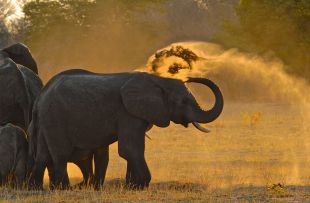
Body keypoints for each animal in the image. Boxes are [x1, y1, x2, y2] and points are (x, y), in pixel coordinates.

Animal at [28, 69, 223, 190]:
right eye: (183, 101)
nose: (190, 77)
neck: (158, 80)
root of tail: (40, 98)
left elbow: (133, 149)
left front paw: (132, 186)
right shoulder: (127, 113)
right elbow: (130, 149)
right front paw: (142, 185)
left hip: (45, 122)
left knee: (43, 155)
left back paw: (38, 188)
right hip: (55, 118)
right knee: (60, 154)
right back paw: (65, 189)